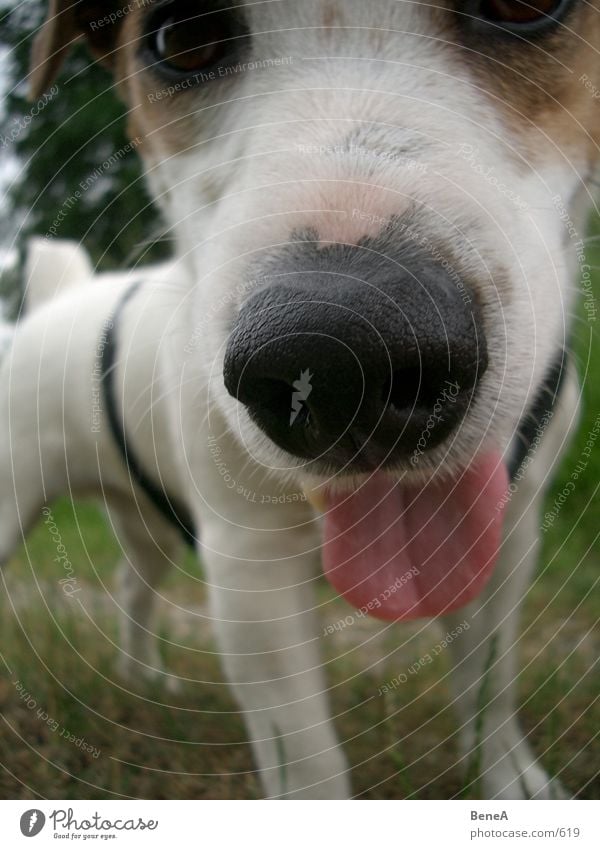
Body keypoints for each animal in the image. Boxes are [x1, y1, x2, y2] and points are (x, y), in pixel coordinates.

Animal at [1, 0, 596, 800]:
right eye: (183, 40)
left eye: (523, 6)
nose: (347, 363)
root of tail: (60, 300)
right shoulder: (252, 574)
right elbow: (312, 760)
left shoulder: (510, 536)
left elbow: (490, 695)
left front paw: (512, 785)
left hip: (145, 519)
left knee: (134, 584)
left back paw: (145, 678)